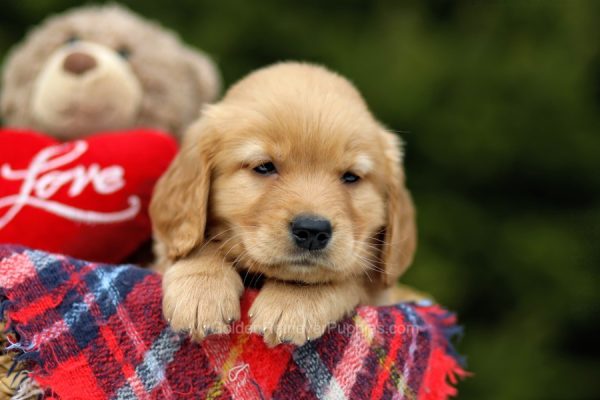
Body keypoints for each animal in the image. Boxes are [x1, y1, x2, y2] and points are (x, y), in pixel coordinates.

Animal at [149, 61, 418, 346]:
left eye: (351, 177)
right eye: (264, 167)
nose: (312, 230)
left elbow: (343, 278)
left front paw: (292, 302)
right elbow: (199, 246)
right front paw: (201, 288)